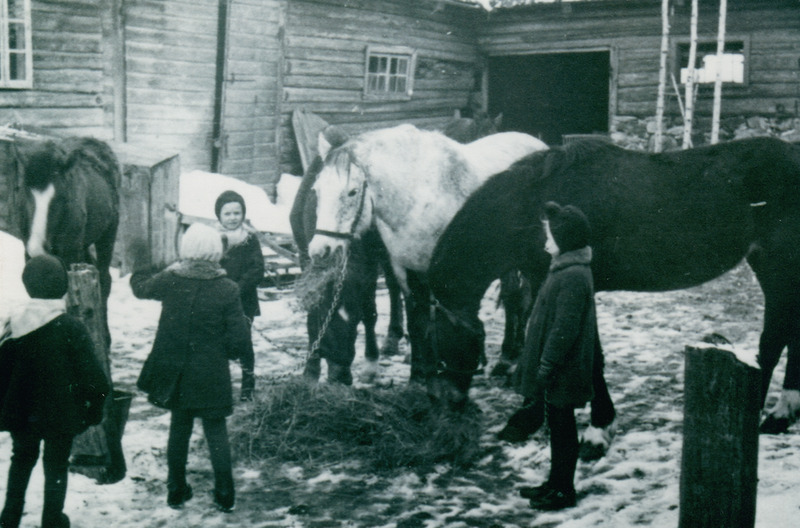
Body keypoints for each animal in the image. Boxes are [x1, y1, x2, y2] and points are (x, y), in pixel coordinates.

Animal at [428, 137, 800, 442]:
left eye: (442, 341)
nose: (448, 402)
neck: (532, 208)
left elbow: (582, 353)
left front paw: (592, 428)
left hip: (778, 265)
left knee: (775, 337)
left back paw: (771, 416)